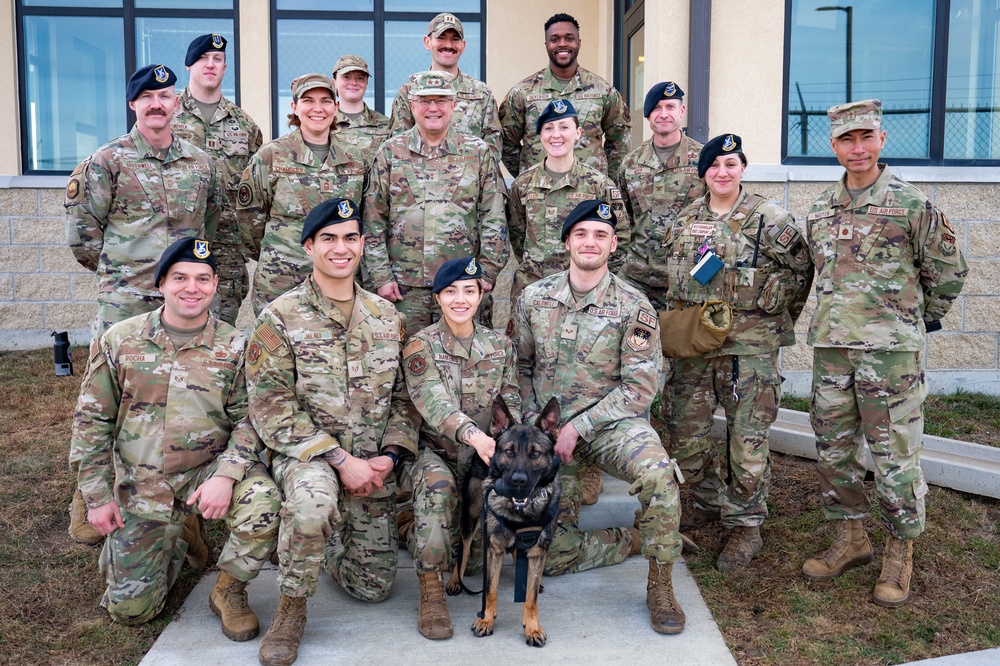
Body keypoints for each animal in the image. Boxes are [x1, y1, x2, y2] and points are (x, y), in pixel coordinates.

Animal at [454, 394, 564, 644]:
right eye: (509, 452)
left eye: (535, 453)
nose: (518, 481)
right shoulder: (493, 548)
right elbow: (490, 590)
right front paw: (486, 620)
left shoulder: (539, 549)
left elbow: (531, 598)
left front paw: (532, 627)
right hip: (471, 519)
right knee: (462, 551)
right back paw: (454, 580)